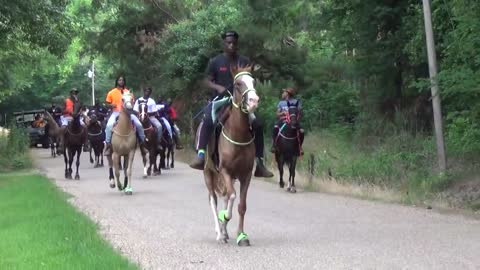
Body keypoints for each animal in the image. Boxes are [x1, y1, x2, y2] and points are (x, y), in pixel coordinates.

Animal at [197, 65, 258, 247]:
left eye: (253, 81)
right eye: (238, 84)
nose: (254, 101)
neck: (238, 135)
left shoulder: (245, 175)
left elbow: (241, 205)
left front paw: (242, 236)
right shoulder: (225, 171)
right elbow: (231, 197)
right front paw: (224, 217)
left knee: (224, 197)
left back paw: (224, 232)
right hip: (209, 173)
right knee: (213, 200)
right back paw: (219, 232)